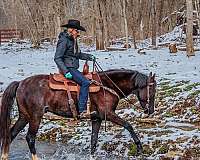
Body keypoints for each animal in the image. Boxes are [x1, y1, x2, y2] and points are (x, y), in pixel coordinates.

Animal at [0, 68, 156, 159]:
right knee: (30, 138)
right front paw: (139, 148)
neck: (107, 85)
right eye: (152, 91)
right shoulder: (109, 114)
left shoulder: (97, 119)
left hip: (24, 116)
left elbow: (94, 140)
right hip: (35, 117)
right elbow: (128, 125)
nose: (150, 111)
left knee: (11, 134)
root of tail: (20, 83)